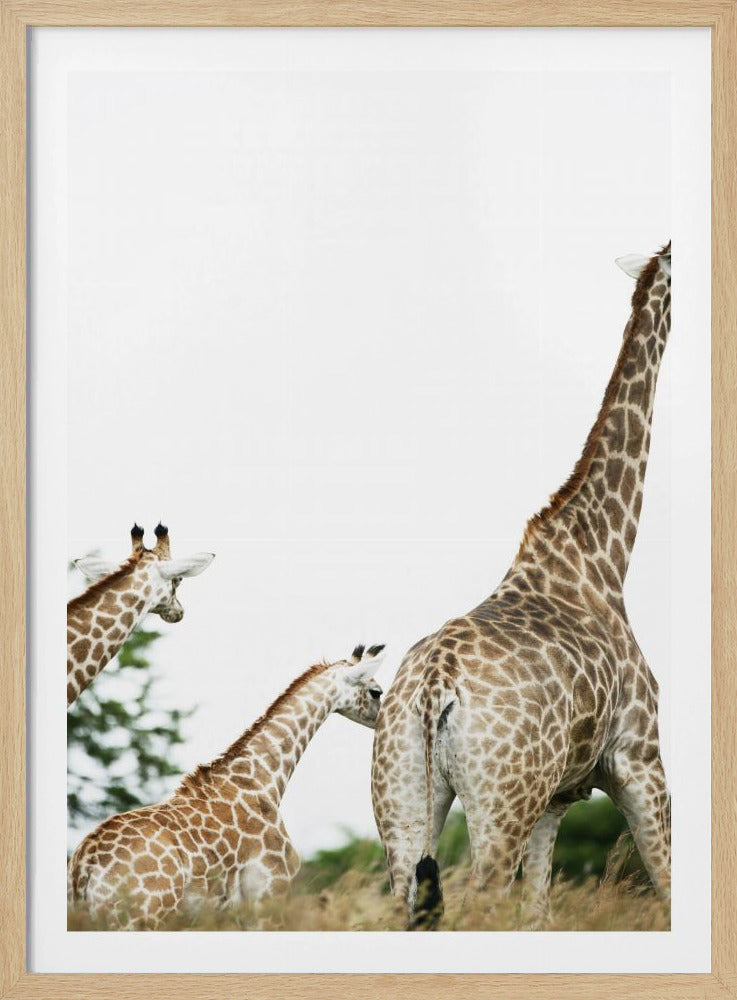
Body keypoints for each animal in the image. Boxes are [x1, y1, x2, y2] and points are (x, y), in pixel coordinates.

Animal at [68, 643, 386, 929]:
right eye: (377, 691)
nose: (383, 721)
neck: (264, 780)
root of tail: (84, 867)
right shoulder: (268, 895)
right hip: (141, 917)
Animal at [371, 243, 672, 928]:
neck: (601, 557)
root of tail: (434, 686)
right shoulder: (639, 758)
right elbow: (669, 888)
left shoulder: (558, 797)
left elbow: (538, 911)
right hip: (501, 797)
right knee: (478, 897)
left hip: (405, 791)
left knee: (403, 899)